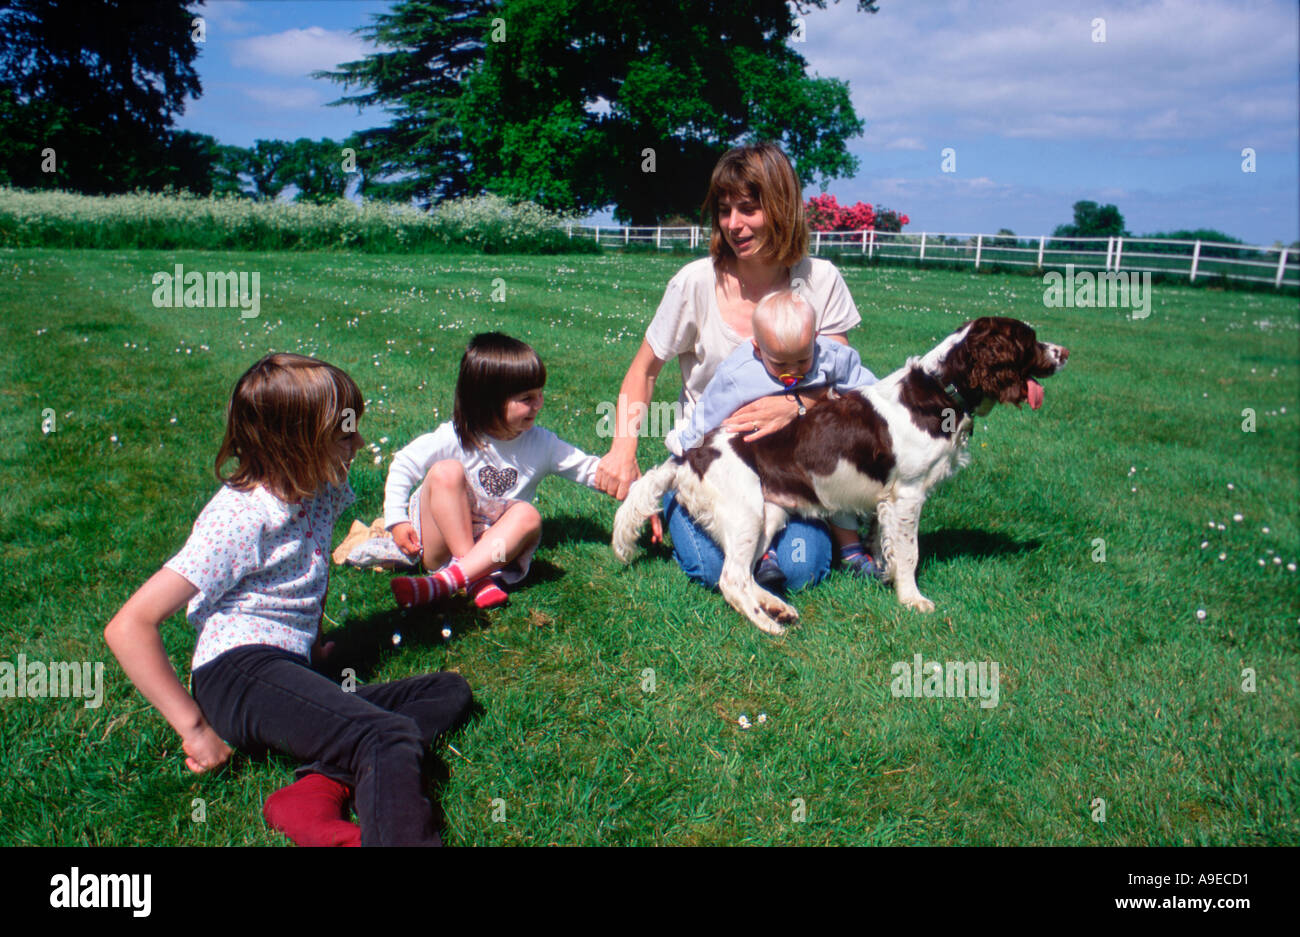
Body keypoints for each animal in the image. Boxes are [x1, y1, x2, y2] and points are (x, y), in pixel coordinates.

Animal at [613, 315, 1071, 636]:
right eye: (1028, 340)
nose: (1065, 352)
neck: (942, 390)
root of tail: (687, 456)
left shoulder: (887, 500)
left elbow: (884, 545)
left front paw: (884, 575)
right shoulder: (908, 494)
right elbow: (910, 553)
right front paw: (913, 600)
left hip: (769, 513)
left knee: (747, 572)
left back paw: (777, 606)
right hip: (744, 512)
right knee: (730, 579)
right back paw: (769, 625)